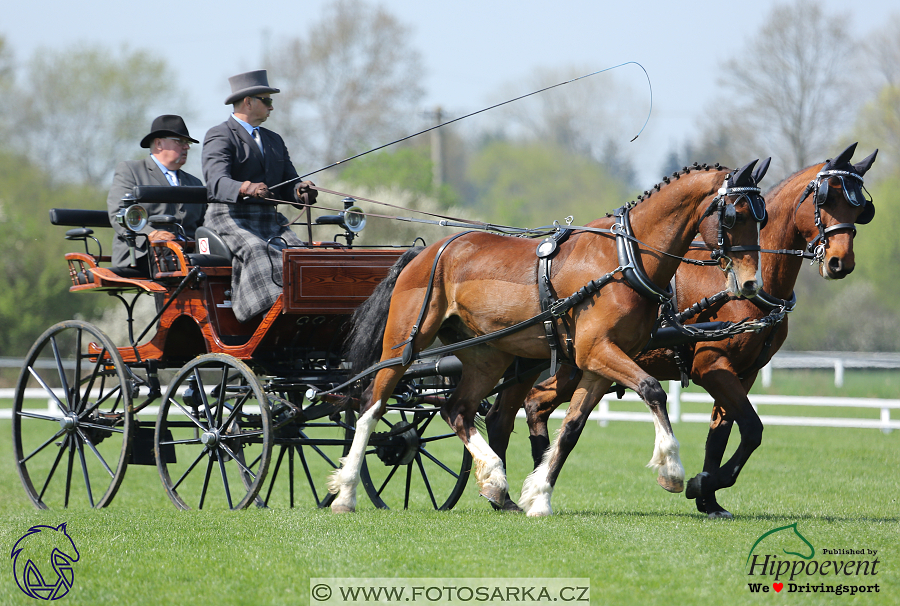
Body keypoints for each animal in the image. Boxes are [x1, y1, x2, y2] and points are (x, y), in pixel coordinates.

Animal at [330, 159, 768, 516]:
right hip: (404, 344)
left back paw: (495, 480)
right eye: (734, 215)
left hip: (488, 356)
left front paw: (539, 494)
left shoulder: (598, 364)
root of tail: (424, 252)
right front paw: (673, 470)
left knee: (458, 410)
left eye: (762, 218)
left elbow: (572, 428)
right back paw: (346, 491)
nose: (750, 283)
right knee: (371, 404)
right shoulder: (597, 351)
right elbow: (652, 390)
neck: (624, 261)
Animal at [492, 142, 880, 516]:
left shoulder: (745, 373)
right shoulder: (712, 365)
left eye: (861, 208)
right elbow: (752, 429)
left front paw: (709, 498)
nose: (840, 262)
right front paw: (700, 483)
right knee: (513, 410)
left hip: (568, 366)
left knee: (528, 407)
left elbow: (722, 435)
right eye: (826, 197)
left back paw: (527, 481)